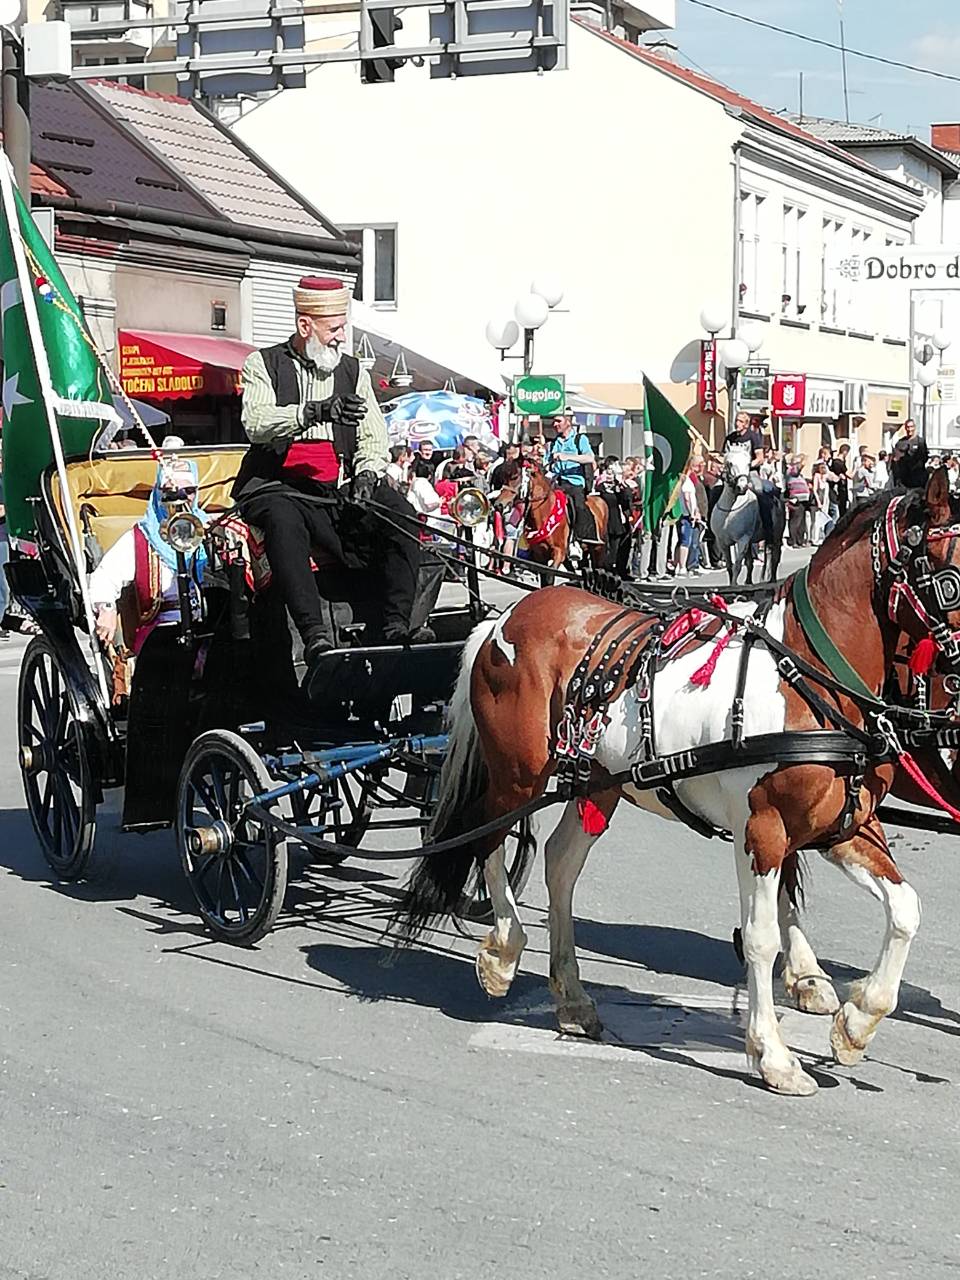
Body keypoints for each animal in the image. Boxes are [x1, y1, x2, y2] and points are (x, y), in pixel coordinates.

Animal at [396, 469, 960, 1097]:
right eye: (951, 569)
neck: (806, 678)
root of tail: (505, 617)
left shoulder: (846, 827)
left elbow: (906, 909)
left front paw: (857, 1022)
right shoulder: (763, 831)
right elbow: (761, 937)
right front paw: (774, 1054)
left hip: (596, 784)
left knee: (560, 864)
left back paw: (572, 998)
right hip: (519, 778)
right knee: (489, 841)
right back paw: (503, 951)